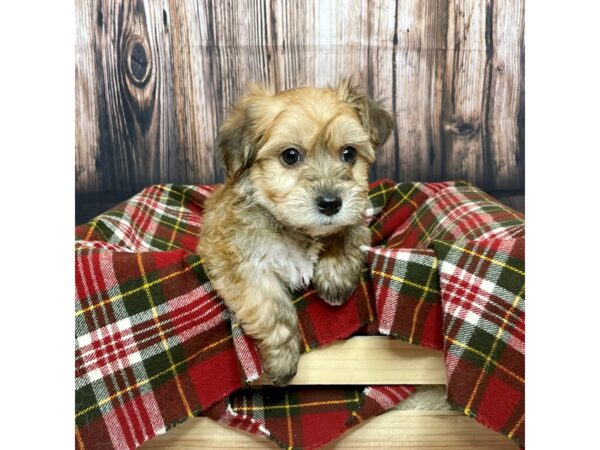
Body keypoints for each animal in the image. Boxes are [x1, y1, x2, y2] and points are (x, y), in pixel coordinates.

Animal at [198, 80, 394, 384]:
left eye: (349, 153)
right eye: (290, 156)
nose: (331, 204)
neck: (295, 228)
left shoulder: (357, 219)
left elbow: (347, 232)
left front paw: (335, 278)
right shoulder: (235, 259)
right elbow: (270, 305)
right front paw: (282, 360)